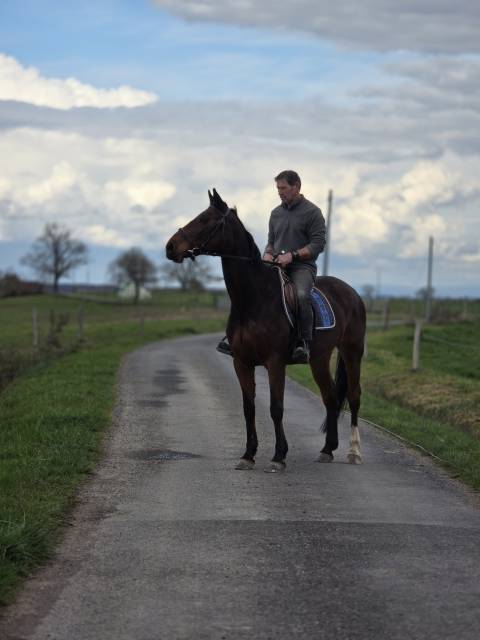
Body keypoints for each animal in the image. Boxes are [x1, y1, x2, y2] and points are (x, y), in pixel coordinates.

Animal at [165, 189, 366, 472]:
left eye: (205, 220)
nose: (170, 247)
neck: (254, 299)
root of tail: (351, 293)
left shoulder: (274, 363)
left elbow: (276, 408)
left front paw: (279, 456)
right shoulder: (241, 362)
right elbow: (248, 408)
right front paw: (248, 455)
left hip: (352, 350)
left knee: (354, 396)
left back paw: (354, 452)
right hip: (319, 358)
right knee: (330, 398)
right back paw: (327, 450)